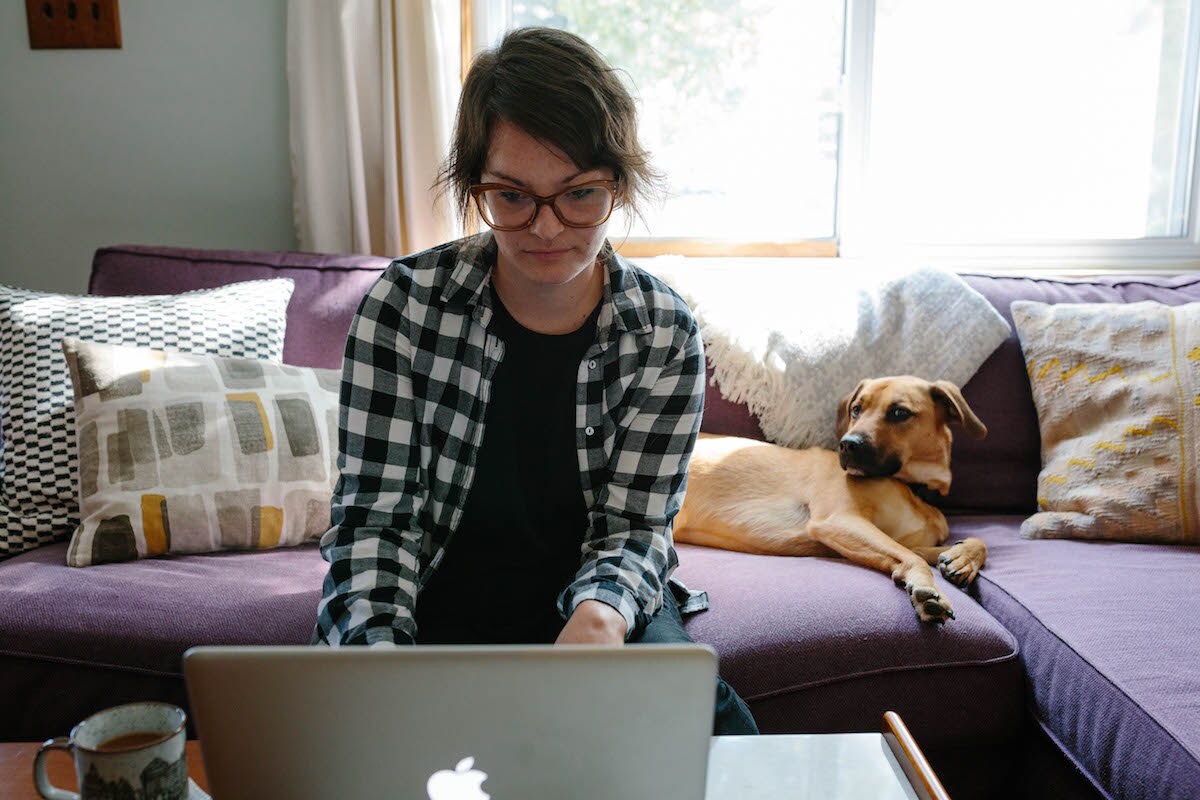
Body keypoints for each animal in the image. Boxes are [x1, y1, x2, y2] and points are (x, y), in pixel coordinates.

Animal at [681, 376, 988, 623]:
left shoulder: (903, 541)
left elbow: (969, 544)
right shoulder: (838, 521)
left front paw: (962, 558)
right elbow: (914, 559)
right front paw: (929, 591)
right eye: (856, 409)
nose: (847, 445)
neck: (911, 488)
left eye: (899, 412)